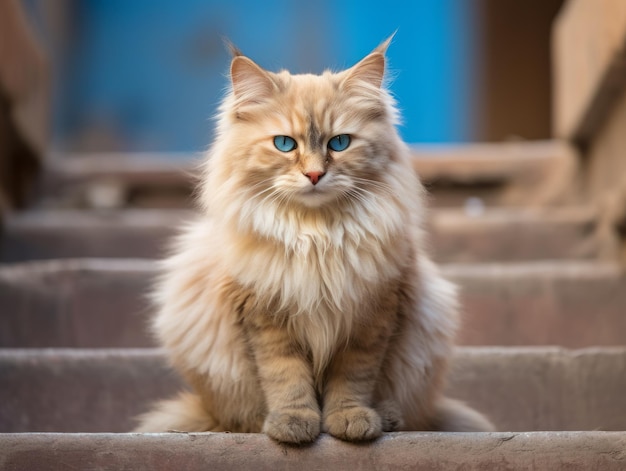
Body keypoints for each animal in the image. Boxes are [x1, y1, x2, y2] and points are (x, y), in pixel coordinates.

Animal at [135, 38, 492, 444]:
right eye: (284, 144)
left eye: (340, 143)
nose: (315, 175)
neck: (315, 236)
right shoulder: (264, 318)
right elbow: (286, 378)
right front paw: (293, 424)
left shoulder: (370, 317)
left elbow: (352, 379)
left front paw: (350, 420)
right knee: (238, 418)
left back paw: (387, 417)